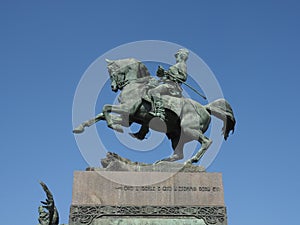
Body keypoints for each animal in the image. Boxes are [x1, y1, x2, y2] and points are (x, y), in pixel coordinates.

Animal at [72, 58, 234, 163]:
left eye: (112, 71)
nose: (113, 87)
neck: (134, 85)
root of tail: (205, 108)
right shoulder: (129, 118)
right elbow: (99, 116)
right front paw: (80, 127)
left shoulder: (127, 109)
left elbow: (104, 108)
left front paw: (114, 126)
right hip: (176, 134)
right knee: (178, 154)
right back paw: (164, 161)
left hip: (189, 129)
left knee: (206, 141)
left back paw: (192, 160)